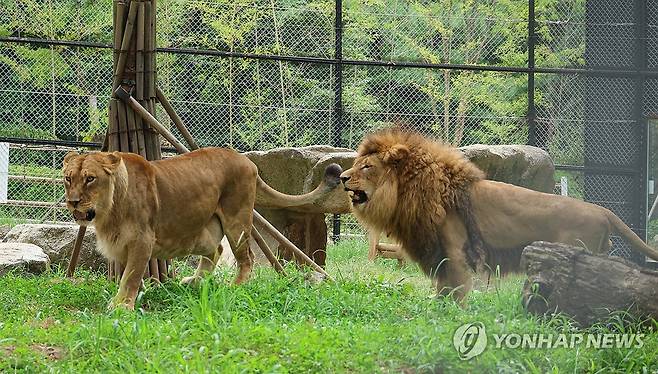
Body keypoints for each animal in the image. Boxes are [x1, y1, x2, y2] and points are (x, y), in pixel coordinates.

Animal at [63, 149, 340, 310]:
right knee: (216, 251)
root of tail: (245, 159)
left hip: (236, 220)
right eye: (68, 178)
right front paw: (132, 297)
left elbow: (130, 276)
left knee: (247, 257)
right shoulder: (121, 243)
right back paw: (195, 282)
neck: (109, 209)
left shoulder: (143, 239)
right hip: (201, 231)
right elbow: (128, 275)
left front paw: (122, 306)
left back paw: (235, 286)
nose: (73, 201)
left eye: (90, 178)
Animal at [338, 129, 656, 300]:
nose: (341, 176)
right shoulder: (440, 255)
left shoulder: (455, 253)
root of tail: (603, 210)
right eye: (357, 163)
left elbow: (456, 291)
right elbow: (442, 290)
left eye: (366, 167)